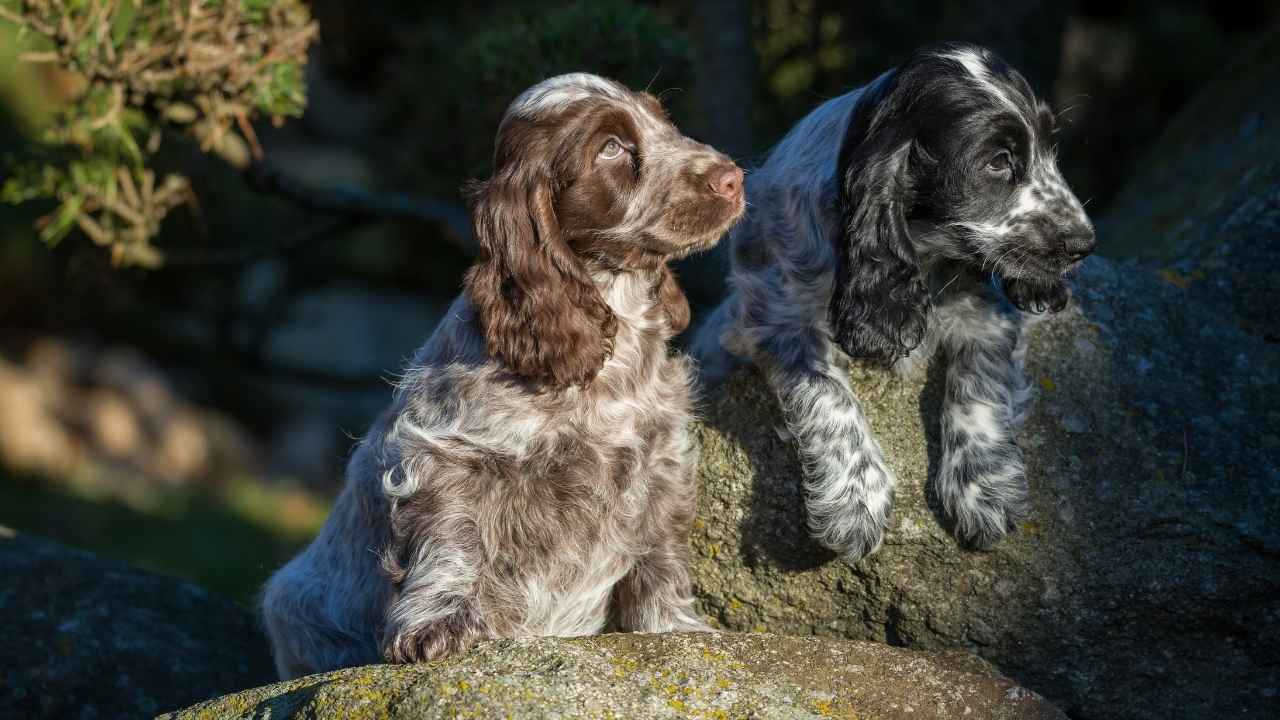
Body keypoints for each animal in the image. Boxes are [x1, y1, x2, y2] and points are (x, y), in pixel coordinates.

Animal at [261, 73, 747, 676]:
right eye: (611, 148)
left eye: (665, 123)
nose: (733, 177)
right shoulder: (448, 456)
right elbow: (451, 541)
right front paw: (438, 623)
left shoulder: (661, 461)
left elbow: (660, 555)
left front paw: (673, 628)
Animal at [696, 43, 1095, 561]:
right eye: (997, 162)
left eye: (1050, 148)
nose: (1085, 244)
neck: (924, 253)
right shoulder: (772, 311)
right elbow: (826, 392)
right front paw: (853, 499)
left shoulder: (987, 311)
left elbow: (981, 383)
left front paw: (984, 487)